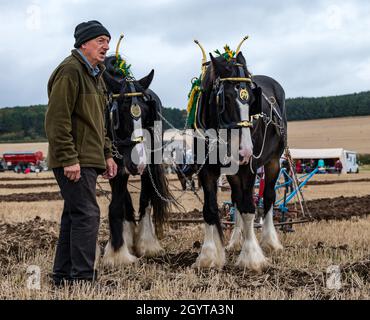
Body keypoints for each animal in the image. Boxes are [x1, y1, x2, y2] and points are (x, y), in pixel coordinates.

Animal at [101, 38, 173, 268]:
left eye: (147, 111)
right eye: (118, 113)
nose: (137, 162)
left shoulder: (148, 165)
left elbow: (145, 200)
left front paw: (146, 245)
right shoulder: (116, 168)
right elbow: (117, 205)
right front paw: (118, 250)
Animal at [191, 38, 286, 272]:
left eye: (252, 99)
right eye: (225, 97)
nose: (245, 150)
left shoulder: (248, 168)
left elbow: (249, 208)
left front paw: (252, 256)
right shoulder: (206, 170)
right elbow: (210, 209)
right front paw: (208, 256)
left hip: (273, 162)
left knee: (267, 197)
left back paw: (270, 241)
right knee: (235, 200)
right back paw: (235, 241)